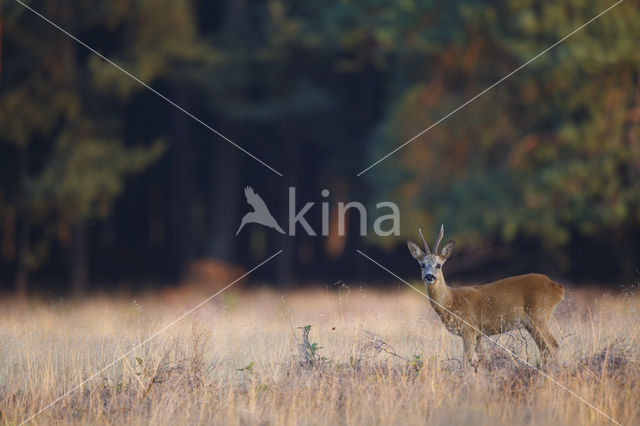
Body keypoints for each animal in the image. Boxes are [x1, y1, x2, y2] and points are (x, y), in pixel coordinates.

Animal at [408, 225, 564, 364]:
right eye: (422, 265)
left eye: (439, 265)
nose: (429, 276)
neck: (451, 301)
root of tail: (558, 288)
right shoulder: (479, 334)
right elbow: (482, 358)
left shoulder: (469, 329)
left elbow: (466, 361)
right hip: (532, 323)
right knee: (544, 349)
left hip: (539, 315)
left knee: (554, 346)